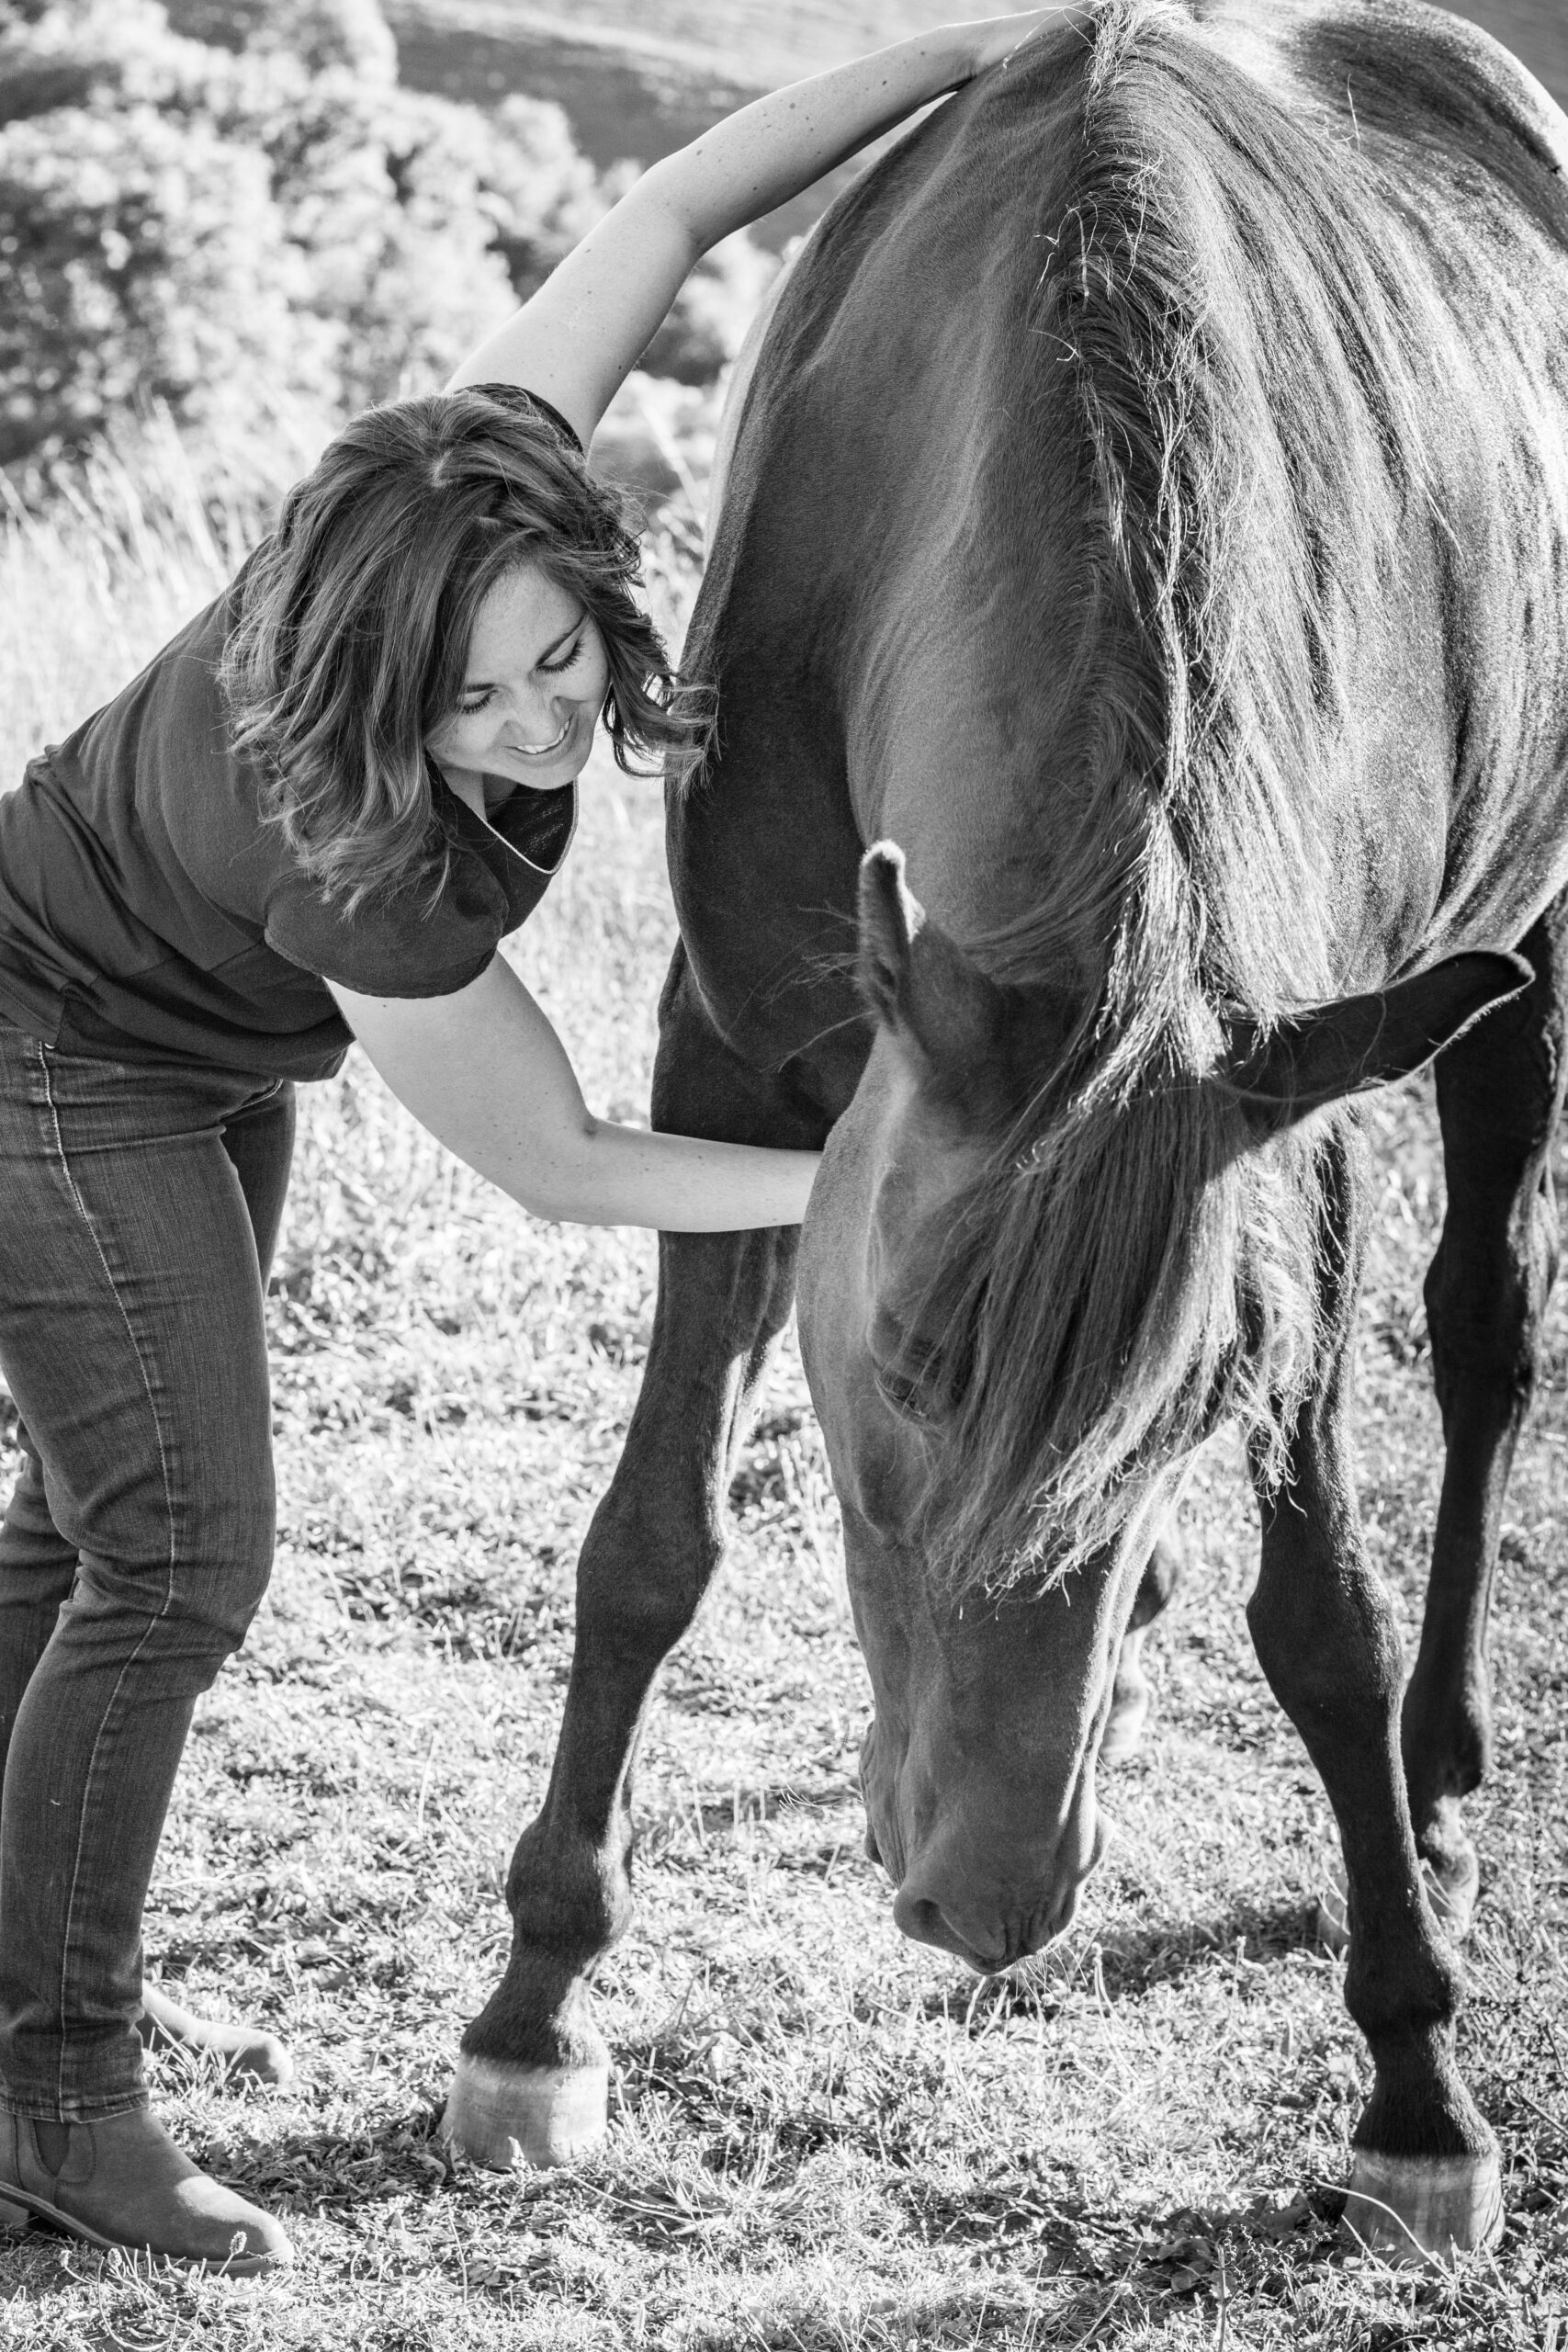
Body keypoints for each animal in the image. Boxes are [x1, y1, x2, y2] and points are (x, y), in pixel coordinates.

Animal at [434, 0, 1568, 2257]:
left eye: (1195, 1406)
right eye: (900, 1370)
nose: (989, 1901)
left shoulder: (1292, 1142)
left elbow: (1317, 1615)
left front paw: (1415, 2079)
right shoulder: (728, 1057)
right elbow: (650, 1541)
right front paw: (535, 2001)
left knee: (1484, 1336)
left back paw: (1440, 1788)